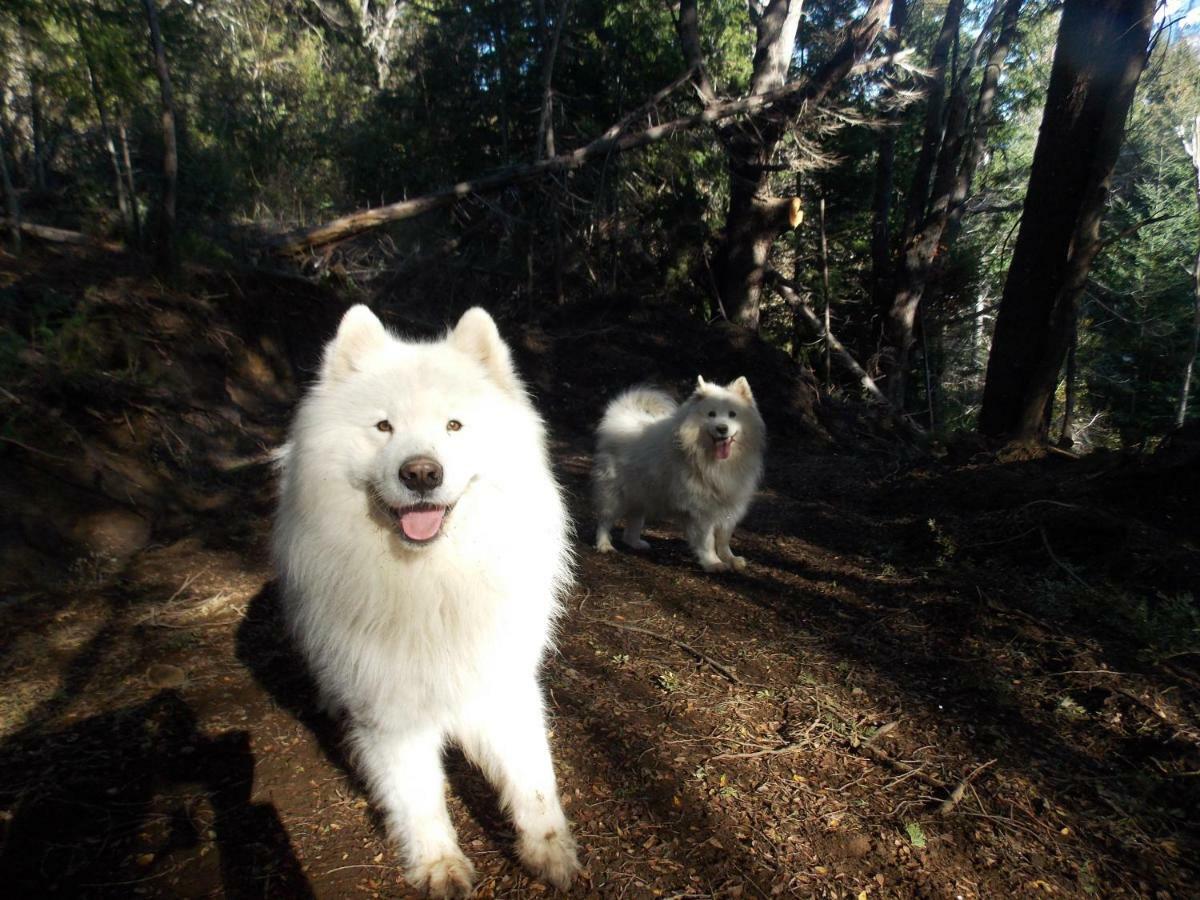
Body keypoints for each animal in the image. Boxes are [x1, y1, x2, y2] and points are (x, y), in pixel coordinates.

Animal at [277, 307, 585, 897]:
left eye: (454, 426)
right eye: (384, 427)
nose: (421, 473)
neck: (435, 584)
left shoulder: (502, 685)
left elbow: (533, 780)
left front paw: (550, 853)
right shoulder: (391, 712)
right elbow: (419, 797)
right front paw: (438, 865)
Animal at [592, 376, 768, 573]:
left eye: (732, 414)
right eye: (711, 414)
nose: (722, 428)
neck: (714, 461)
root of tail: (621, 419)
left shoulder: (729, 504)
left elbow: (724, 538)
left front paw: (731, 559)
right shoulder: (701, 510)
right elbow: (707, 541)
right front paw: (713, 563)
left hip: (642, 493)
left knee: (633, 522)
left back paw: (635, 543)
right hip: (615, 495)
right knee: (605, 520)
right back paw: (604, 545)